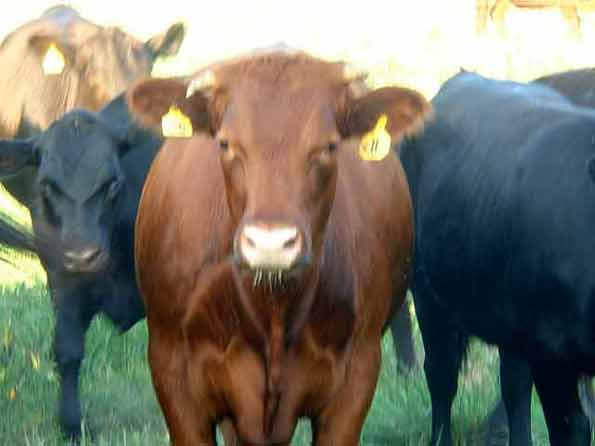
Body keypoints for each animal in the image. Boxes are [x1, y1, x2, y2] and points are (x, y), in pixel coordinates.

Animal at [0, 94, 162, 440]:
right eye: (47, 185)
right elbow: (68, 351)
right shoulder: (63, 284)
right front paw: (71, 425)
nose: (82, 255)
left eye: (112, 184)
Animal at [129, 50, 428, 444]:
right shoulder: (173, 374)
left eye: (329, 146)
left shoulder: (357, 378)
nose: (270, 243)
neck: (272, 308)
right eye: (225, 143)